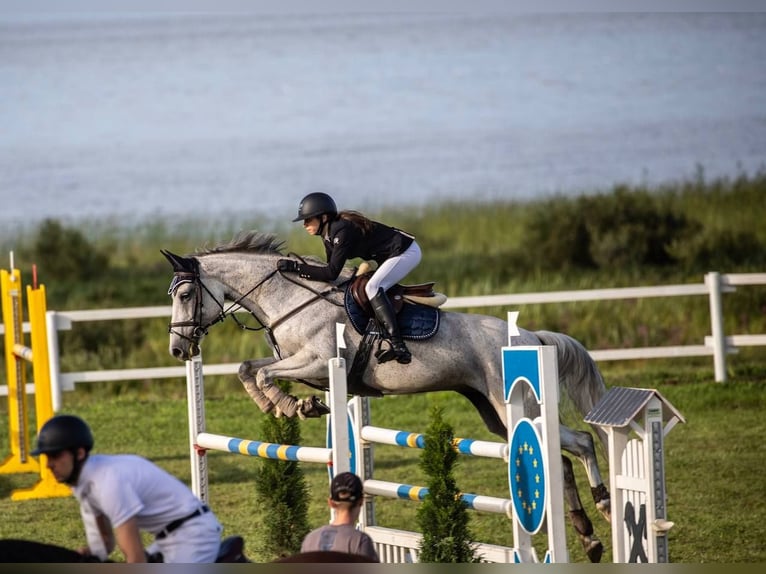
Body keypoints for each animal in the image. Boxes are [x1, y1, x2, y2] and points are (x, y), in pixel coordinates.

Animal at [166, 231, 612, 564]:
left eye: (185, 295)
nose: (178, 349)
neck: (290, 300)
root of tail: (530, 337)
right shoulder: (297, 363)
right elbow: (248, 368)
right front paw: (287, 406)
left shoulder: (318, 362)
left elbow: (261, 372)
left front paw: (291, 406)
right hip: (494, 414)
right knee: (561, 456)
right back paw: (588, 536)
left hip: (513, 406)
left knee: (578, 443)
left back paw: (604, 505)